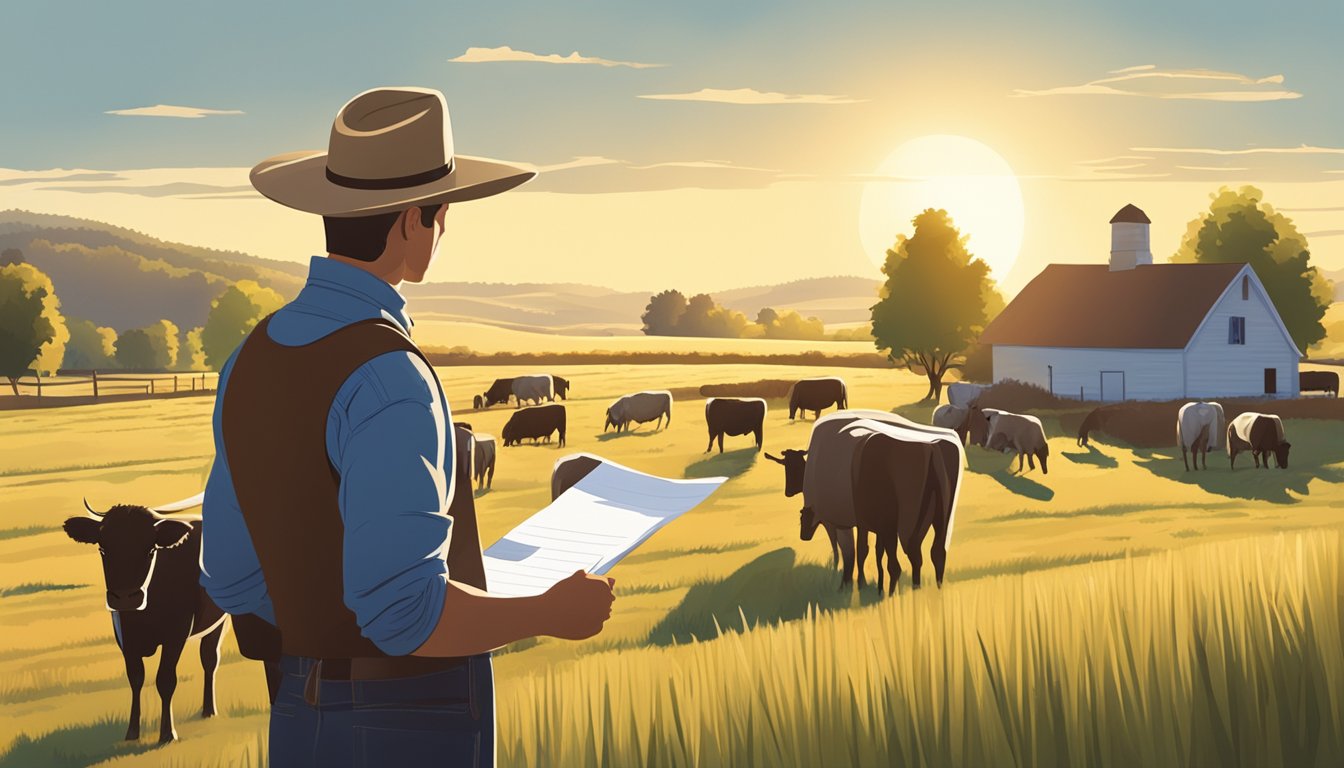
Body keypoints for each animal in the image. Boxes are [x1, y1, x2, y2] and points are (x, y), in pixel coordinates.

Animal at [64, 503, 231, 742]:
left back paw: (209, 710)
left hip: (219, 621)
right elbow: (136, 678)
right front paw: (132, 732)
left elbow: (165, 680)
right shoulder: (126, 640)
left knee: (209, 660)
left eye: (151, 550)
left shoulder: (175, 636)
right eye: (103, 549)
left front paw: (168, 734)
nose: (125, 598)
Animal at [844, 419, 962, 594]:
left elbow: (865, 550)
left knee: (904, 560)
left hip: (905, 525)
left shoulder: (871, 523)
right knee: (936, 552)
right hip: (941, 517)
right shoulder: (880, 527)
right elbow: (877, 552)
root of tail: (931, 449)